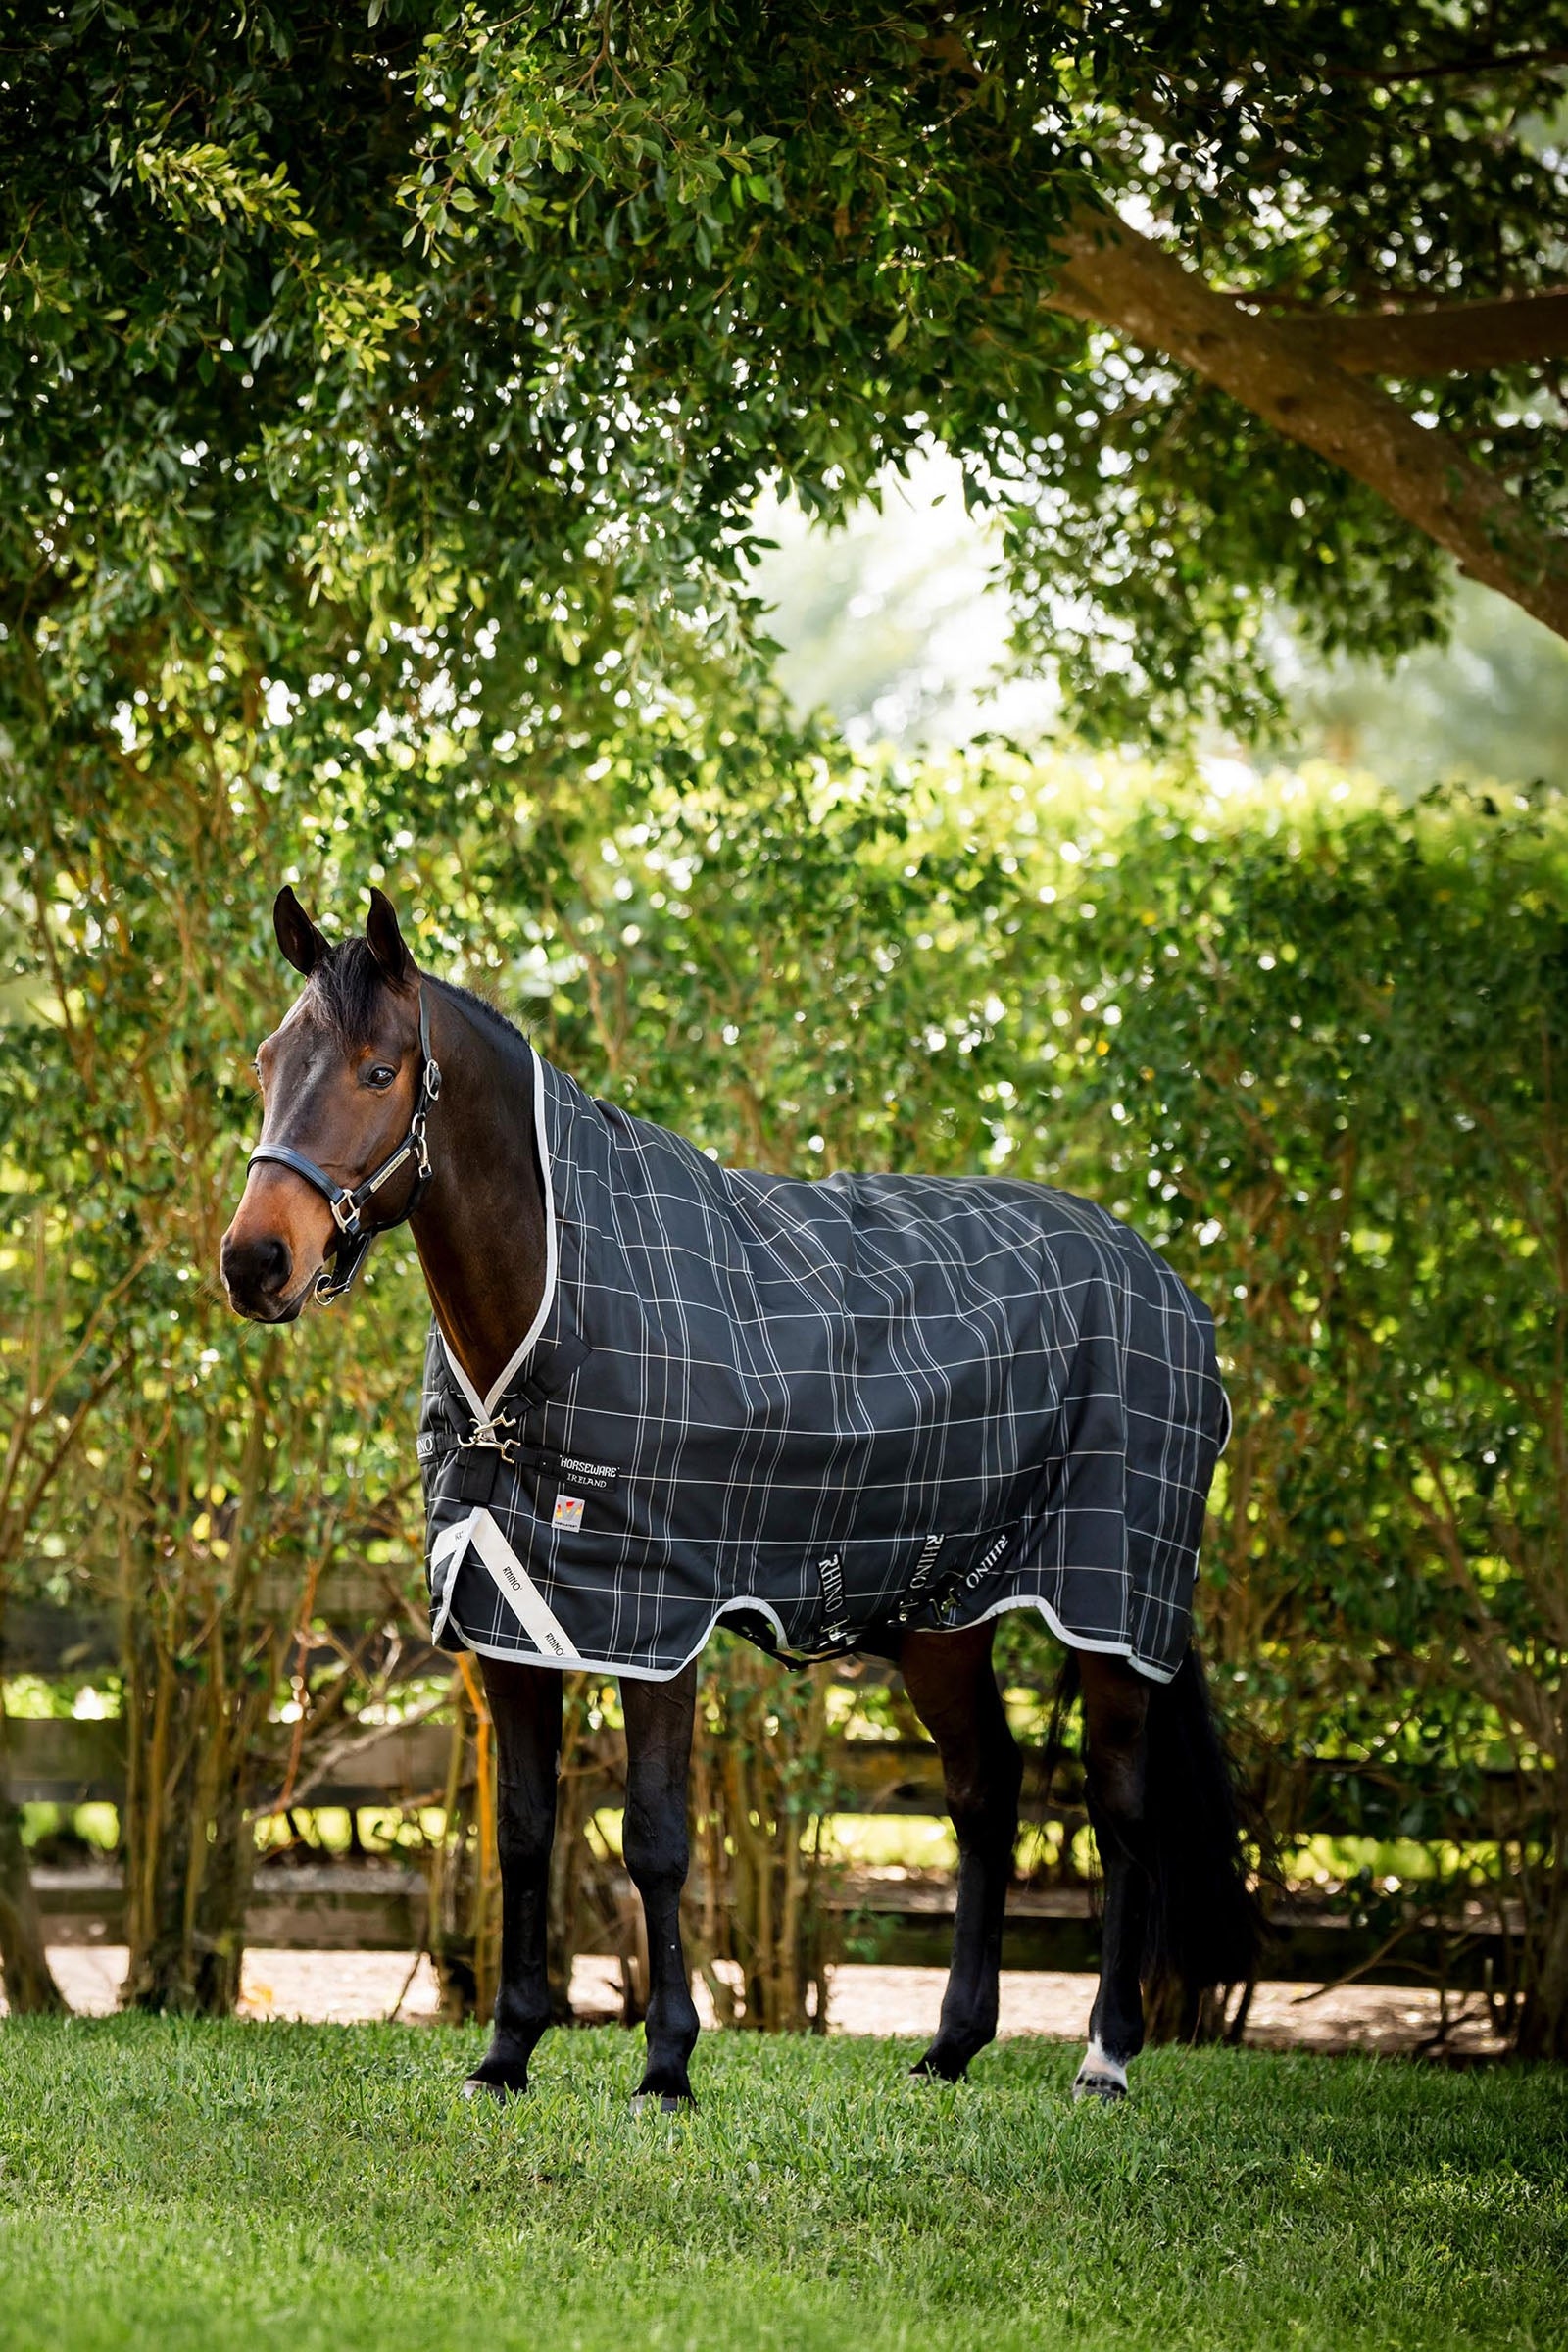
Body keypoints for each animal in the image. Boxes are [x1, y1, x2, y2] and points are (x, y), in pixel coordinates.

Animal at [221, 885, 1257, 2107]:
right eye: (267, 1059)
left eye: (379, 1071)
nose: (254, 1262)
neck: (557, 1304)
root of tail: (1163, 1281)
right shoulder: (507, 1612)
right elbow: (524, 1832)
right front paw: (507, 2052)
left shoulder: (660, 1624)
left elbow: (655, 1837)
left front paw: (667, 2065)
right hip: (944, 1612)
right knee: (985, 1793)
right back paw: (950, 2047)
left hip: (1111, 1610)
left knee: (1120, 1808)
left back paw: (1105, 2053)